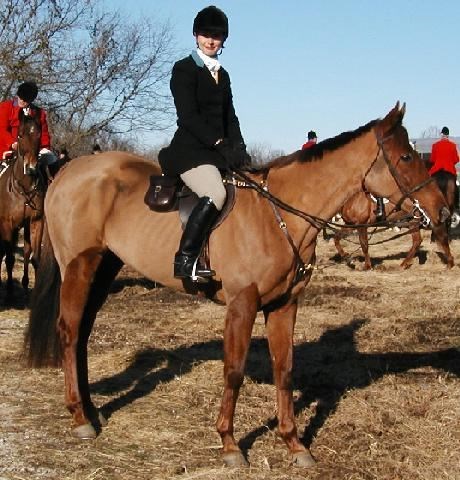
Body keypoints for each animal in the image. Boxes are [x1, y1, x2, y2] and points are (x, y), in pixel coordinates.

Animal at [24, 103, 450, 466]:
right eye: (407, 157)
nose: (443, 211)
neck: (279, 215)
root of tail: (67, 172)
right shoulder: (242, 304)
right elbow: (234, 370)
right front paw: (229, 444)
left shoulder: (285, 305)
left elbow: (285, 369)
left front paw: (294, 443)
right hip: (78, 266)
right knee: (70, 331)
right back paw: (80, 418)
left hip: (104, 266)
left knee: (82, 334)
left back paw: (92, 409)